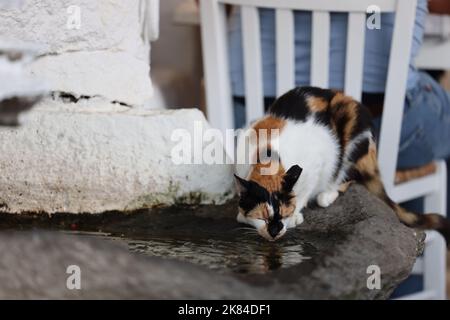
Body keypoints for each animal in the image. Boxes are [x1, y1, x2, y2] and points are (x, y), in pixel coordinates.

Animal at [236, 86, 450, 241]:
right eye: (261, 217)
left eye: (284, 214)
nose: (274, 231)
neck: (268, 155)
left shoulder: (317, 161)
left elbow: (304, 192)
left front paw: (296, 213)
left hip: (351, 140)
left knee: (344, 178)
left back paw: (327, 194)